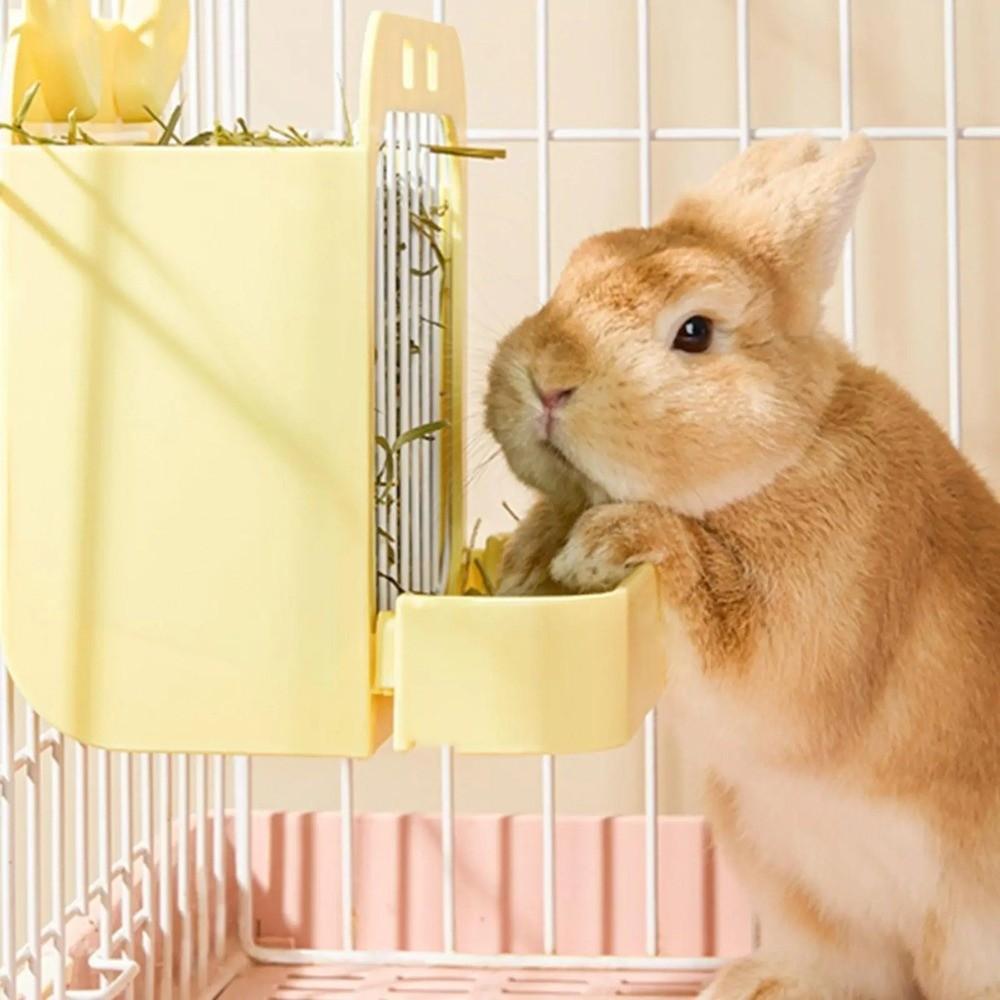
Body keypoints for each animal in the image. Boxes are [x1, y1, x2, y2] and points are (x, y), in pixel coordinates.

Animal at [484, 134, 1000, 1000]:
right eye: (573, 271)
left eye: (694, 331)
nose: (547, 381)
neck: (782, 455)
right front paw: (528, 557)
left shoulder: (809, 620)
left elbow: (723, 617)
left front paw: (609, 543)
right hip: (783, 871)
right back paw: (756, 985)